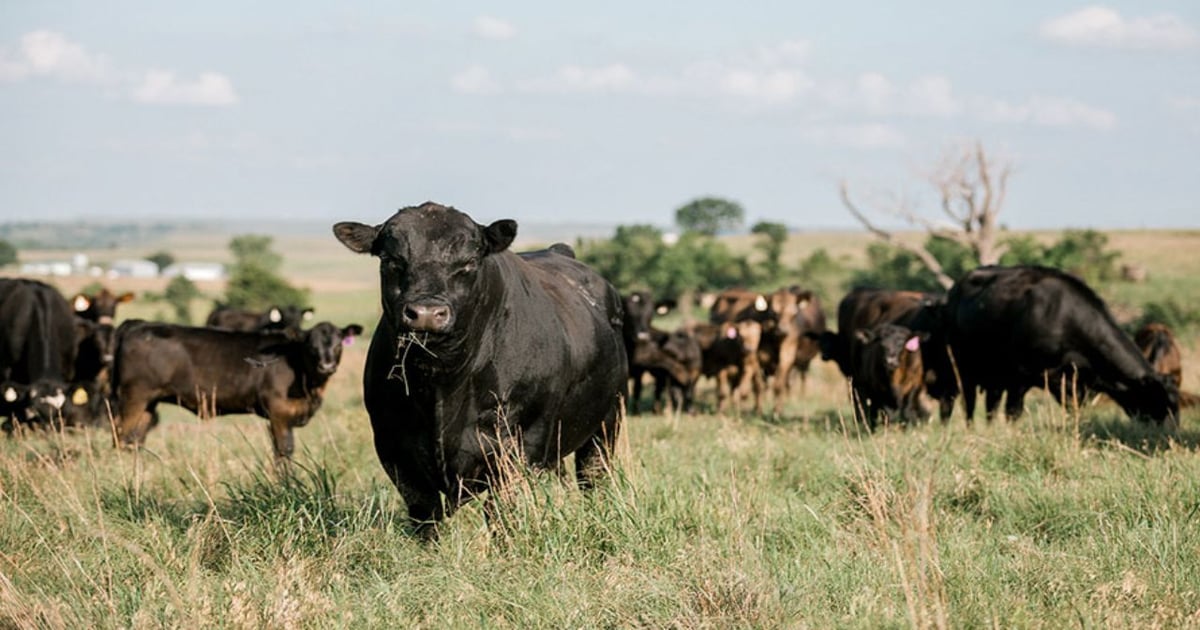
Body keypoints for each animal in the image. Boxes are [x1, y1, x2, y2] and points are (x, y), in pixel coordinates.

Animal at [111, 319, 362, 459]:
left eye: (338, 344)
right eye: (312, 346)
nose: (326, 365)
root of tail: (139, 324)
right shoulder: (278, 413)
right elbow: (284, 450)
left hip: (148, 403)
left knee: (134, 440)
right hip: (134, 397)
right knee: (121, 437)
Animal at [333, 201, 628, 538]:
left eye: (469, 262)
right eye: (390, 259)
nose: (426, 313)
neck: (442, 381)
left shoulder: (522, 442)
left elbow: (501, 510)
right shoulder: (393, 444)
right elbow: (425, 514)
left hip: (607, 422)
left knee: (593, 477)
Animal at [944, 265, 1178, 426]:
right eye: (1158, 400)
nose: (1170, 433)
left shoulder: (1073, 386)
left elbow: (1074, 410)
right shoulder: (1020, 377)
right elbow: (1013, 412)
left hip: (995, 375)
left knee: (990, 406)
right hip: (963, 369)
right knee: (969, 405)